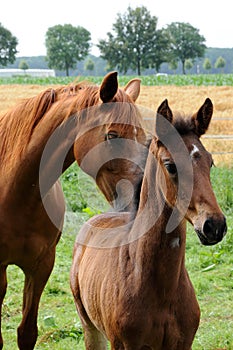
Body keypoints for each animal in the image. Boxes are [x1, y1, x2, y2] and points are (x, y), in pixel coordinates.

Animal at [0, 72, 149, 350]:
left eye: (143, 138)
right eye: (112, 135)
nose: (139, 197)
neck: (17, 192)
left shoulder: (41, 266)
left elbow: (27, 333)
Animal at [70, 98, 228, 350]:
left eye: (211, 162)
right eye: (170, 165)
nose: (214, 225)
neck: (162, 290)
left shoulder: (183, 344)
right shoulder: (123, 344)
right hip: (90, 328)